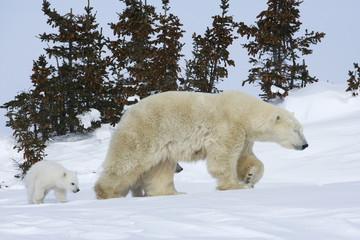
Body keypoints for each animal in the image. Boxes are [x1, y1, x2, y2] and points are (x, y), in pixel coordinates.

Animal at [94, 90, 308, 199]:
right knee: (126, 163)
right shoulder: (228, 127)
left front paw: (250, 177)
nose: (305, 145)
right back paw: (109, 193)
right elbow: (223, 159)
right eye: (296, 130)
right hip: (145, 134)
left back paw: (170, 193)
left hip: (162, 145)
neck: (244, 112)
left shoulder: (245, 136)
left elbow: (245, 158)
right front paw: (235, 187)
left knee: (161, 169)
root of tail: (125, 116)